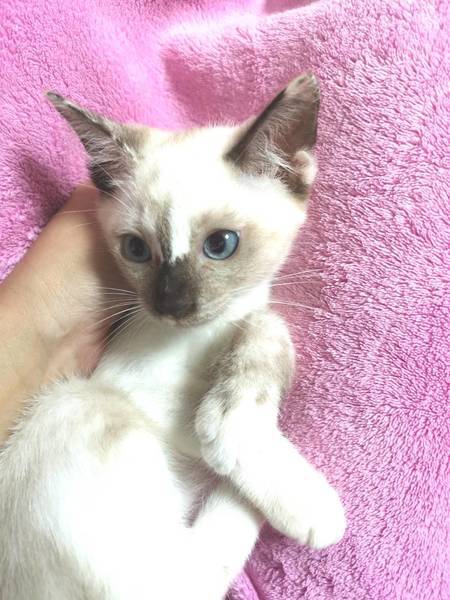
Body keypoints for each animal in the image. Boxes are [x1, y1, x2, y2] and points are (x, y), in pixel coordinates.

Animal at [0, 74, 345, 600]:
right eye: (136, 250)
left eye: (221, 245)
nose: (170, 305)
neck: (206, 336)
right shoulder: (153, 406)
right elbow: (261, 345)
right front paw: (292, 490)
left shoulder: (245, 313)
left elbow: (266, 326)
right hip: (82, 403)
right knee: (194, 575)